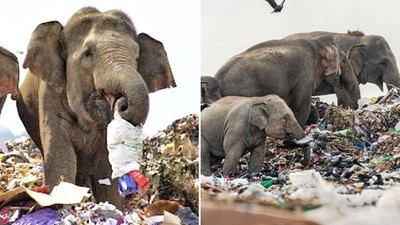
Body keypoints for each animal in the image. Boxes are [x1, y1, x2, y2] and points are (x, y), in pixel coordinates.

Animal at [16, 7, 175, 209]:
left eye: (137, 57)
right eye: (88, 53)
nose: (121, 103)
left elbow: (106, 169)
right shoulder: (49, 94)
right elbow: (60, 158)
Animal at [214, 34, 354, 127]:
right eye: (344, 60)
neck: (314, 43)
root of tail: (218, 79)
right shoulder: (304, 75)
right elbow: (300, 106)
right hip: (241, 90)